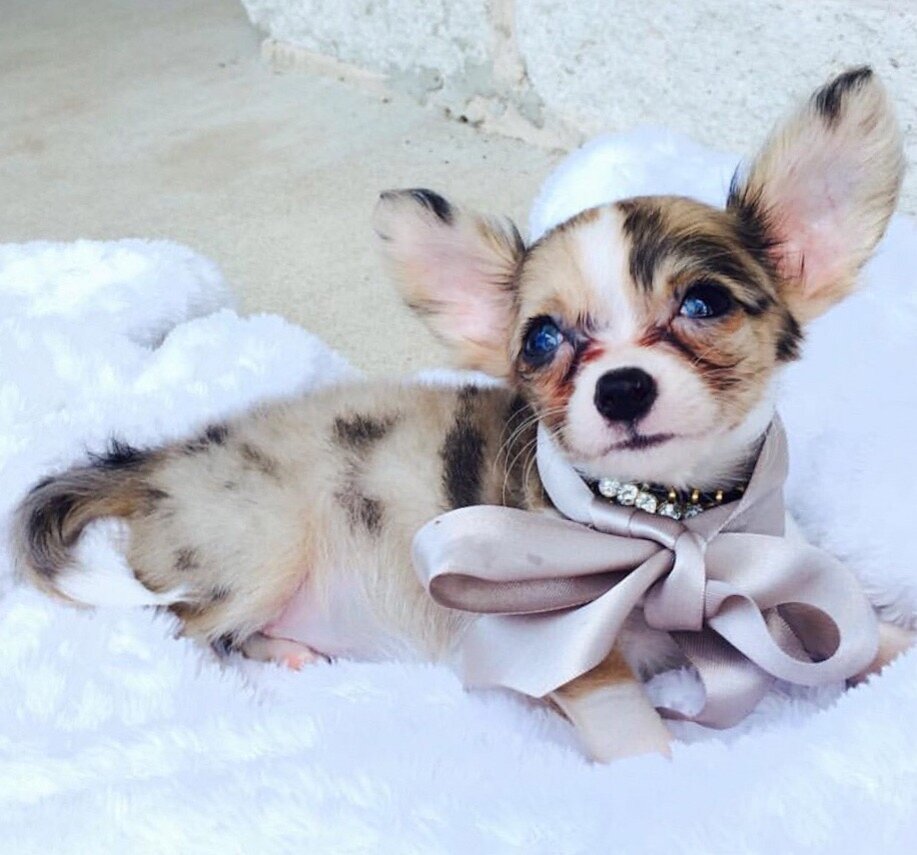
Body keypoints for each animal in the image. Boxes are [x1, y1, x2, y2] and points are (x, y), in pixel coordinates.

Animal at [12, 67, 911, 761]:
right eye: (541, 339)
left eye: (703, 302)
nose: (620, 387)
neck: (671, 528)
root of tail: (161, 460)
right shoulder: (563, 647)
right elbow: (631, 728)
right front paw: (657, 779)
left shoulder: (771, 573)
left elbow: (857, 625)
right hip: (255, 556)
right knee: (189, 629)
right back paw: (282, 657)